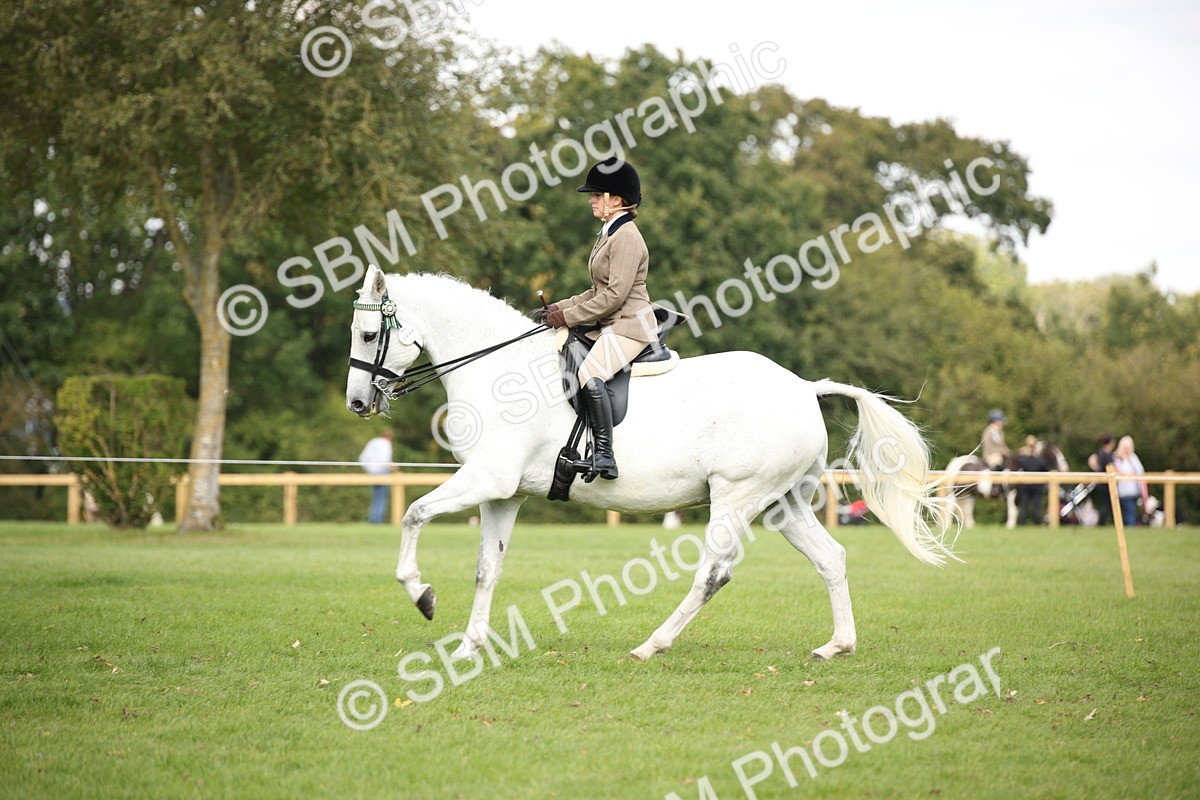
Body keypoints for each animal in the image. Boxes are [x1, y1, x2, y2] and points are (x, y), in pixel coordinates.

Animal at [344, 267, 957, 662]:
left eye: (370, 334)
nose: (357, 403)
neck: (500, 371)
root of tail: (804, 387)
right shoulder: (504, 493)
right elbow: (486, 568)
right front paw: (471, 644)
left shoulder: (484, 480)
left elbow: (414, 514)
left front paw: (421, 595)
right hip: (782, 503)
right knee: (831, 558)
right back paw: (837, 645)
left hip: (735, 497)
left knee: (714, 573)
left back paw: (651, 644)